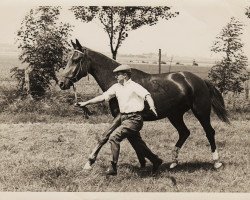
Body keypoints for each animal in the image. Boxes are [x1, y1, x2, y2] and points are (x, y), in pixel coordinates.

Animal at [58, 39, 229, 170]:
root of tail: (200, 80)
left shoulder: (120, 115)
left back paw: (216, 162)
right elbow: (135, 140)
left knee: (209, 132)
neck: (119, 81)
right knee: (184, 132)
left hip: (201, 112)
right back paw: (173, 162)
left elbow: (105, 136)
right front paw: (146, 162)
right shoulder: (126, 118)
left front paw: (89, 162)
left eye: (75, 60)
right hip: (175, 115)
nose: (61, 83)